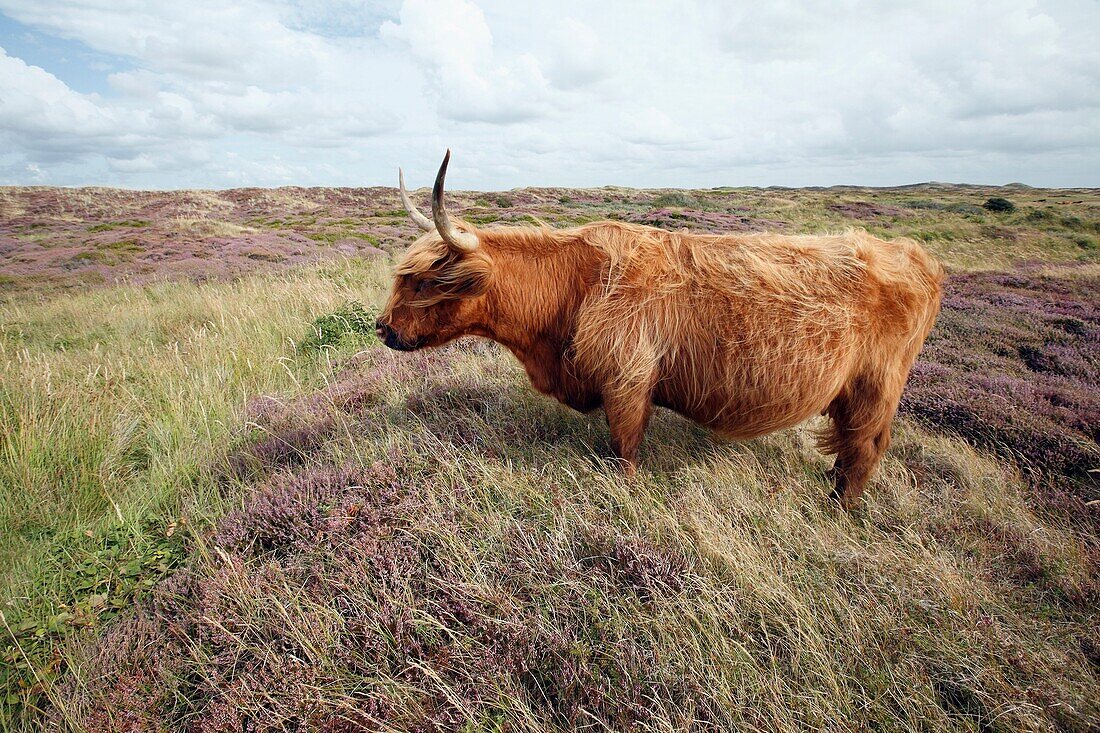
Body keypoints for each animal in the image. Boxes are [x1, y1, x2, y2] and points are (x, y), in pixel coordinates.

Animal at [378, 150, 946, 506]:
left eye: (426, 281)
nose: (382, 329)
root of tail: (914, 254)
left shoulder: (628, 382)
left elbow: (623, 450)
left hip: (874, 388)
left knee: (863, 452)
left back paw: (837, 507)